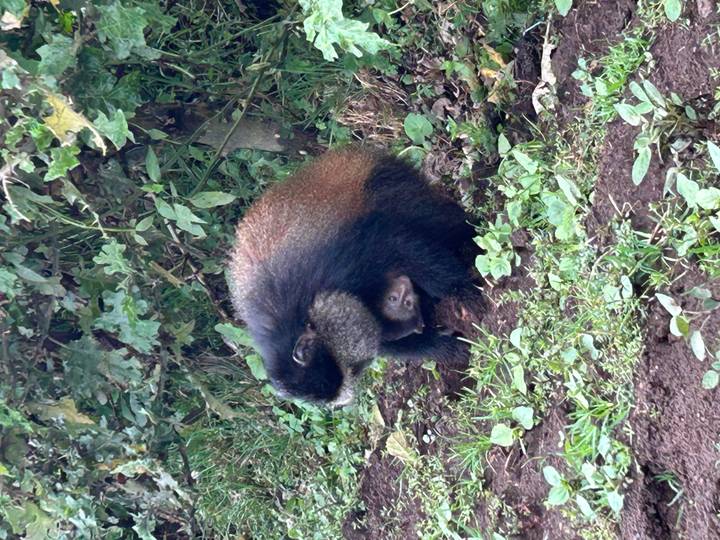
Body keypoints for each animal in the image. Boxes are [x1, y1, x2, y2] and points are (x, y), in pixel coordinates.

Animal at [228, 147, 481, 405]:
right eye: (359, 367)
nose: (404, 298)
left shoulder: (335, 261)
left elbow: (398, 247)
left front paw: (462, 291)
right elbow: (386, 343)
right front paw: (441, 346)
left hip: (386, 180)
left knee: (432, 219)